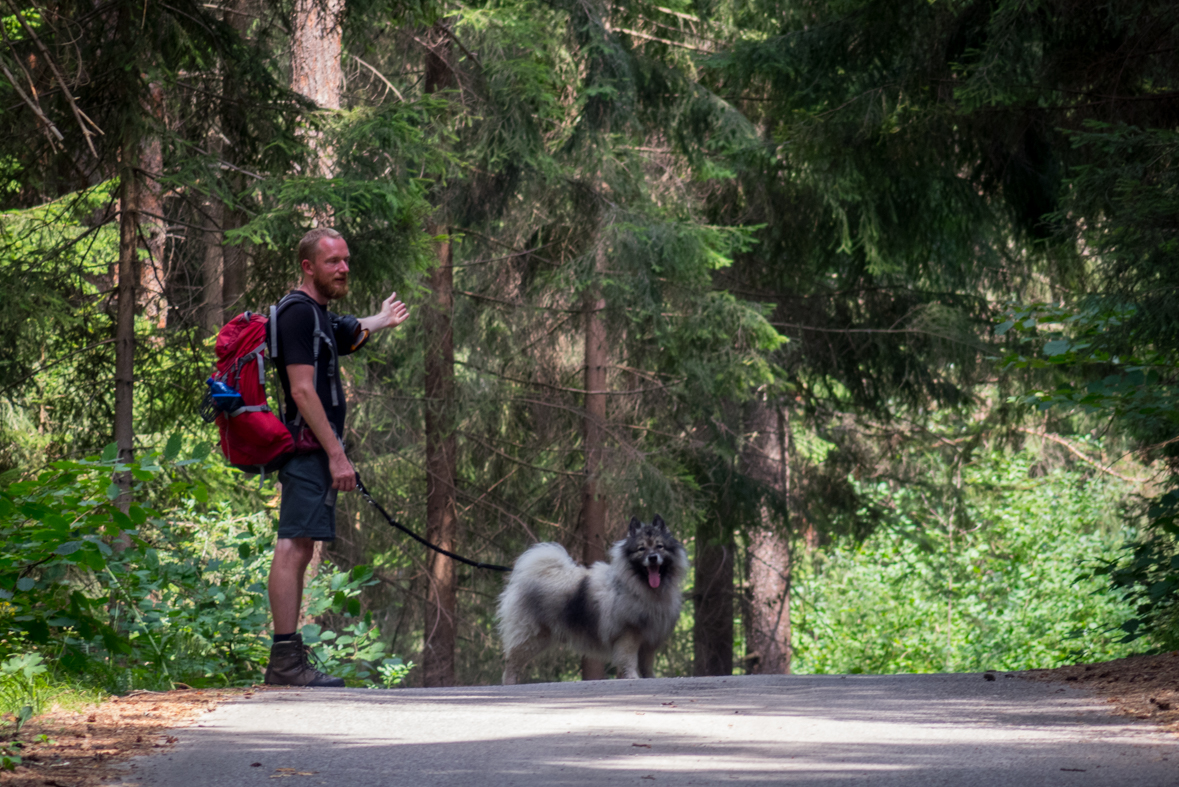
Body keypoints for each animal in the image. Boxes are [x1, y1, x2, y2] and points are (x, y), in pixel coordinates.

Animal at [495, 516, 688, 683]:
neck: (640, 588)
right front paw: (632, 677)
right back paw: (510, 683)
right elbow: (629, 660)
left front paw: (650, 678)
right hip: (530, 636)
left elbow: (647, 664)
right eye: (641, 549)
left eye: (660, 546)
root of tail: (526, 577)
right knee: (512, 662)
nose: (652, 557)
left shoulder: (649, 639)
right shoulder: (629, 633)